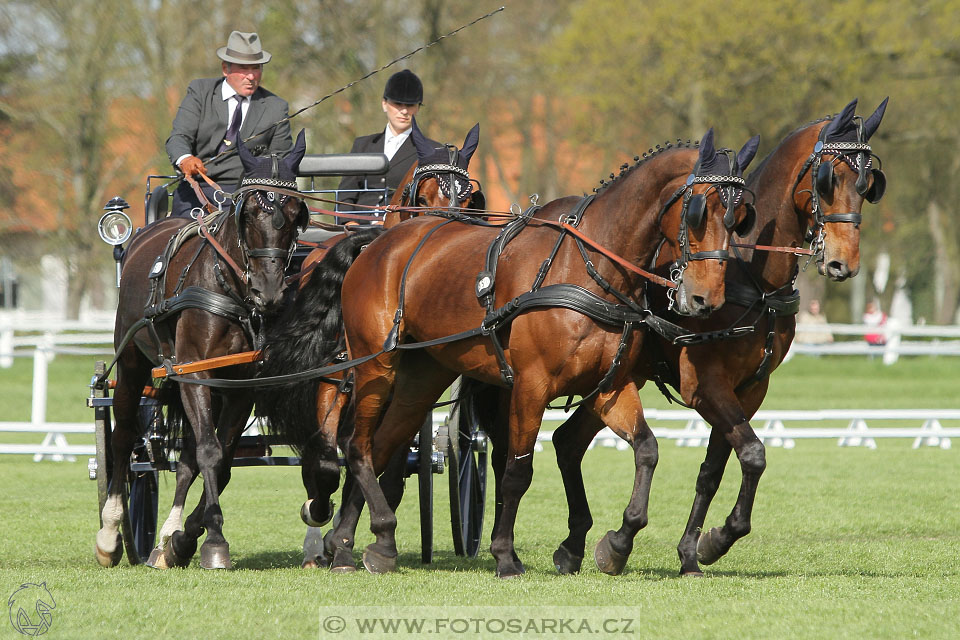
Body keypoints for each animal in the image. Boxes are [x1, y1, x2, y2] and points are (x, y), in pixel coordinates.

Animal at [334, 127, 760, 576]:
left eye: (739, 216)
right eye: (699, 211)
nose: (705, 299)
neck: (588, 269)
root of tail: (379, 243)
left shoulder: (611, 386)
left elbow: (647, 449)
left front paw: (618, 542)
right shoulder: (530, 386)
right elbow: (517, 471)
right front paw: (505, 554)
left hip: (422, 376)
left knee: (382, 446)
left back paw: (363, 543)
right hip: (376, 366)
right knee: (359, 446)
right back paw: (352, 542)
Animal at [544, 97, 888, 576]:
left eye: (868, 184)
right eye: (828, 179)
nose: (843, 263)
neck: (753, 279)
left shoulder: (749, 389)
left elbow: (714, 469)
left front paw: (695, 550)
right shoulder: (706, 386)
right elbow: (753, 454)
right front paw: (713, 539)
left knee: (567, 442)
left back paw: (574, 547)